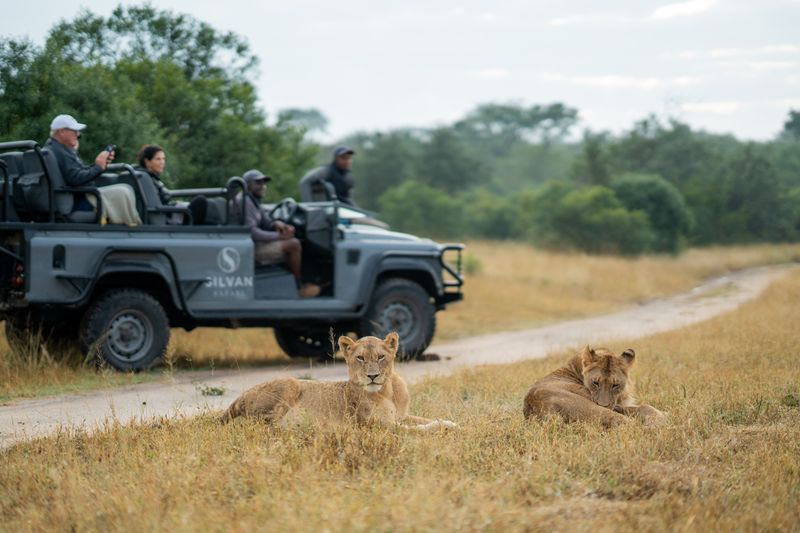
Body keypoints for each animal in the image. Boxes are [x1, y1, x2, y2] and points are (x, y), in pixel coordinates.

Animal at [220, 332, 456, 431]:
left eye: (381, 357)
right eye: (360, 358)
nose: (372, 376)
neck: (387, 391)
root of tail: (237, 399)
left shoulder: (401, 416)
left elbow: (423, 419)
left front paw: (450, 422)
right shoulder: (379, 426)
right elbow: (417, 429)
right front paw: (443, 428)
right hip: (290, 383)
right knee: (267, 426)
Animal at [523, 346, 666, 428]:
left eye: (615, 385)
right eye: (595, 382)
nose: (603, 404)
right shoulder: (616, 406)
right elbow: (644, 406)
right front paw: (659, 418)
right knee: (630, 424)